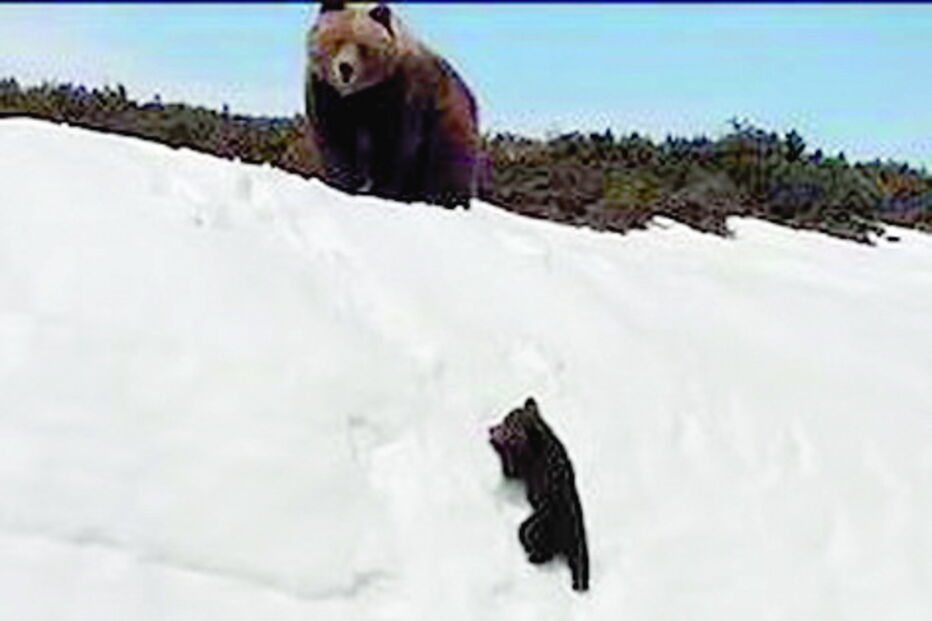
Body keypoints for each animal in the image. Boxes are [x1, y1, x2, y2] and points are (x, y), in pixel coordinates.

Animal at [305, 0, 480, 209]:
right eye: (337, 40)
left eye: (363, 46)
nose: (345, 68)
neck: (358, 94)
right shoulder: (327, 93)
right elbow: (336, 140)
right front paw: (343, 184)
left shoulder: (401, 92)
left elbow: (396, 146)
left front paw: (383, 191)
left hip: (448, 125)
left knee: (445, 170)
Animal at [489, 397, 590, 592]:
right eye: (506, 418)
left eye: (509, 425)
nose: (491, 429)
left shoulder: (523, 467)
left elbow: (510, 469)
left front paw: (497, 445)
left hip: (541, 526)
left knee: (533, 539)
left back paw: (533, 556)